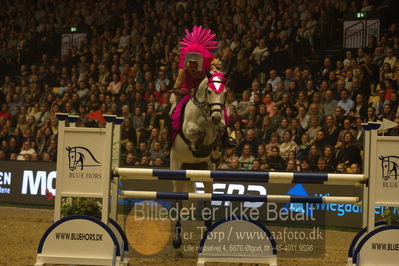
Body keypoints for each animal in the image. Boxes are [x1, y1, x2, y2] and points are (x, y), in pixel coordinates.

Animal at [170, 70, 228, 247]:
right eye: (209, 91)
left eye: (225, 92)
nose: (216, 116)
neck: (205, 111)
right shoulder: (188, 128)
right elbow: (196, 131)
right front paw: (196, 143)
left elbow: (220, 129)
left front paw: (215, 150)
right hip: (176, 166)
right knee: (178, 200)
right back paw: (176, 239)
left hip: (207, 171)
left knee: (208, 196)